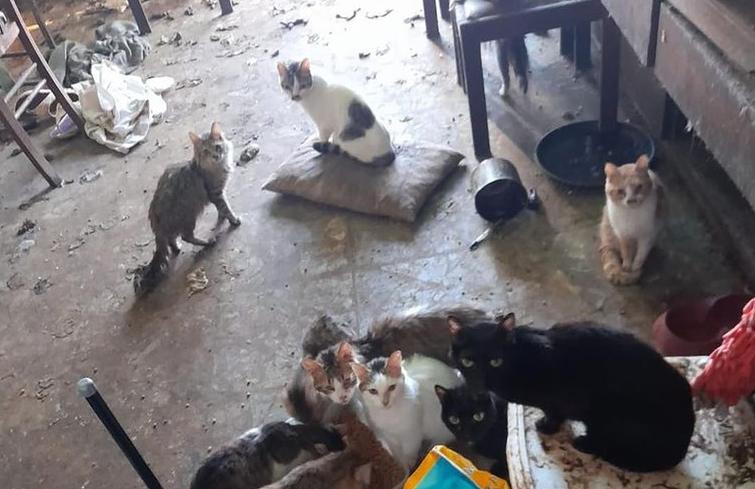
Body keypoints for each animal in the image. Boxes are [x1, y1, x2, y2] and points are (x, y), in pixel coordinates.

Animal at [133, 123, 242, 298]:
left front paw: (223, 218)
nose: (215, 156)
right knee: (186, 236)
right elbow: (225, 207)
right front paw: (233, 220)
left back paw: (176, 248)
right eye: (205, 151)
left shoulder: (218, 194)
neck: (216, 168)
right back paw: (207, 242)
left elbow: (222, 209)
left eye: (217, 147)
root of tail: (155, 222)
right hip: (189, 216)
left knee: (173, 240)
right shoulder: (215, 193)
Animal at [448, 314, 696, 470]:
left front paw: (546, 426)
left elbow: (554, 413)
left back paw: (584, 442)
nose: (479, 384)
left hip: (611, 418)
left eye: (496, 361)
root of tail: (682, 448)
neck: (520, 357)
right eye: (467, 362)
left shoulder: (560, 398)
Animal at [600, 155, 664, 286]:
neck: (631, 214)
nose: (631, 200)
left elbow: (641, 254)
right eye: (620, 191)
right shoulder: (623, 234)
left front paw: (635, 267)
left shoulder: (648, 235)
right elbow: (626, 252)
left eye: (639, 187)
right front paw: (627, 266)